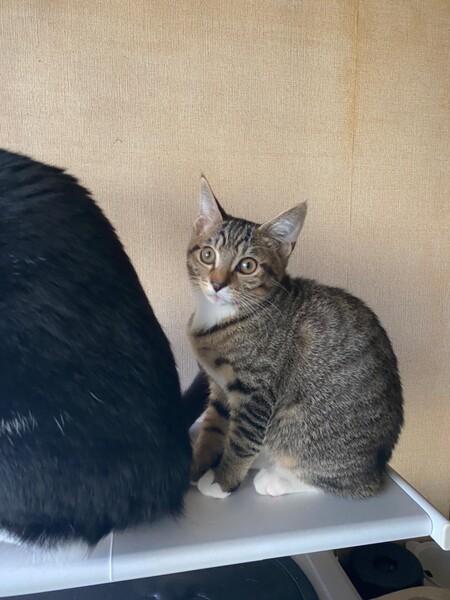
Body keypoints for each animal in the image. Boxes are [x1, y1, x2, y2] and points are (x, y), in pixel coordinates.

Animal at [187, 177, 403, 500]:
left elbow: (243, 438)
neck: (223, 317)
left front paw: (223, 480)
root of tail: (377, 465)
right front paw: (197, 465)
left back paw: (276, 479)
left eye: (247, 265)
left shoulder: (257, 390)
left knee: (346, 483)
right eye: (208, 254)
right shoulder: (219, 386)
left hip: (299, 422)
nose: (216, 284)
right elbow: (215, 425)